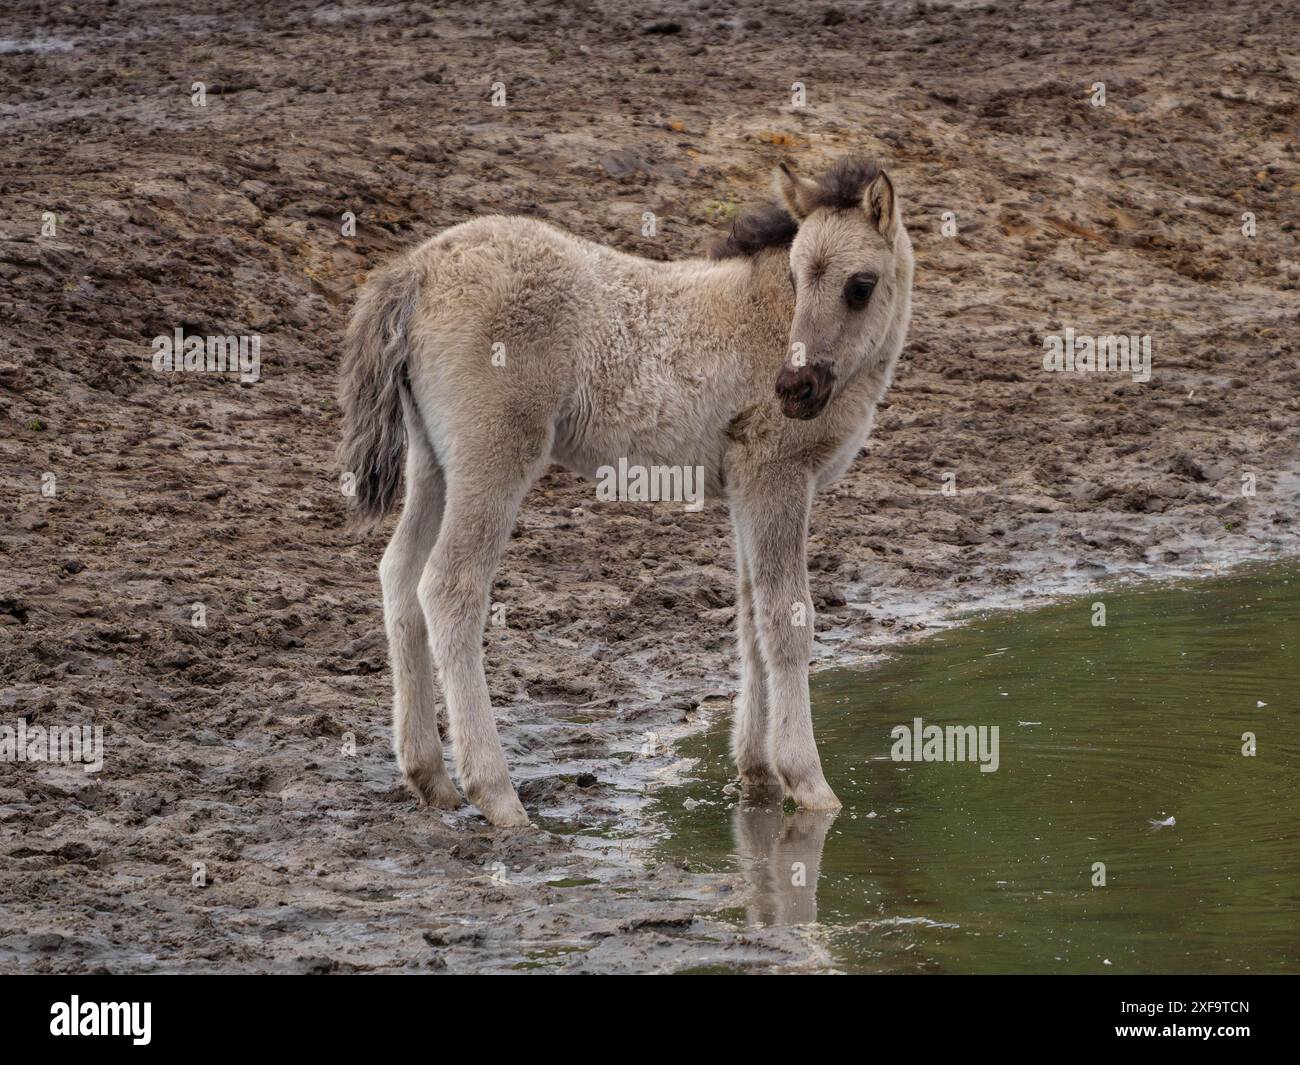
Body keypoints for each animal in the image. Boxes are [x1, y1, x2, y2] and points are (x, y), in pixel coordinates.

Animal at [340, 156, 920, 827]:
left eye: (860, 285)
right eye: (798, 278)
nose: (794, 390)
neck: (767, 316)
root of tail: (419, 266)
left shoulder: (747, 490)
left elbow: (749, 617)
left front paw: (757, 774)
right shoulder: (777, 476)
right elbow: (786, 619)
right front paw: (809, 782)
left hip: (434, 461)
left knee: (399, 575)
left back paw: (429, 776)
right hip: (493, 454)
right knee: (449, 588)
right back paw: (497, 793)